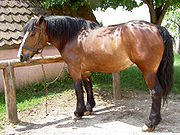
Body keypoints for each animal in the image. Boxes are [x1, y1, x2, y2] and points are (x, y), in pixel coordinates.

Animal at [17, 15, 174, 132]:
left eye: (32, 34)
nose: (21, 56)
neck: (73, 36)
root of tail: (156, 28)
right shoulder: (85, 70)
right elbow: (88, 87)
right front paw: (89, 108)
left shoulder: (74, 69)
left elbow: (78, 90)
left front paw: (78, 113)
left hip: (148, 72)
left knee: (156, 92)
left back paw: (150, 123)